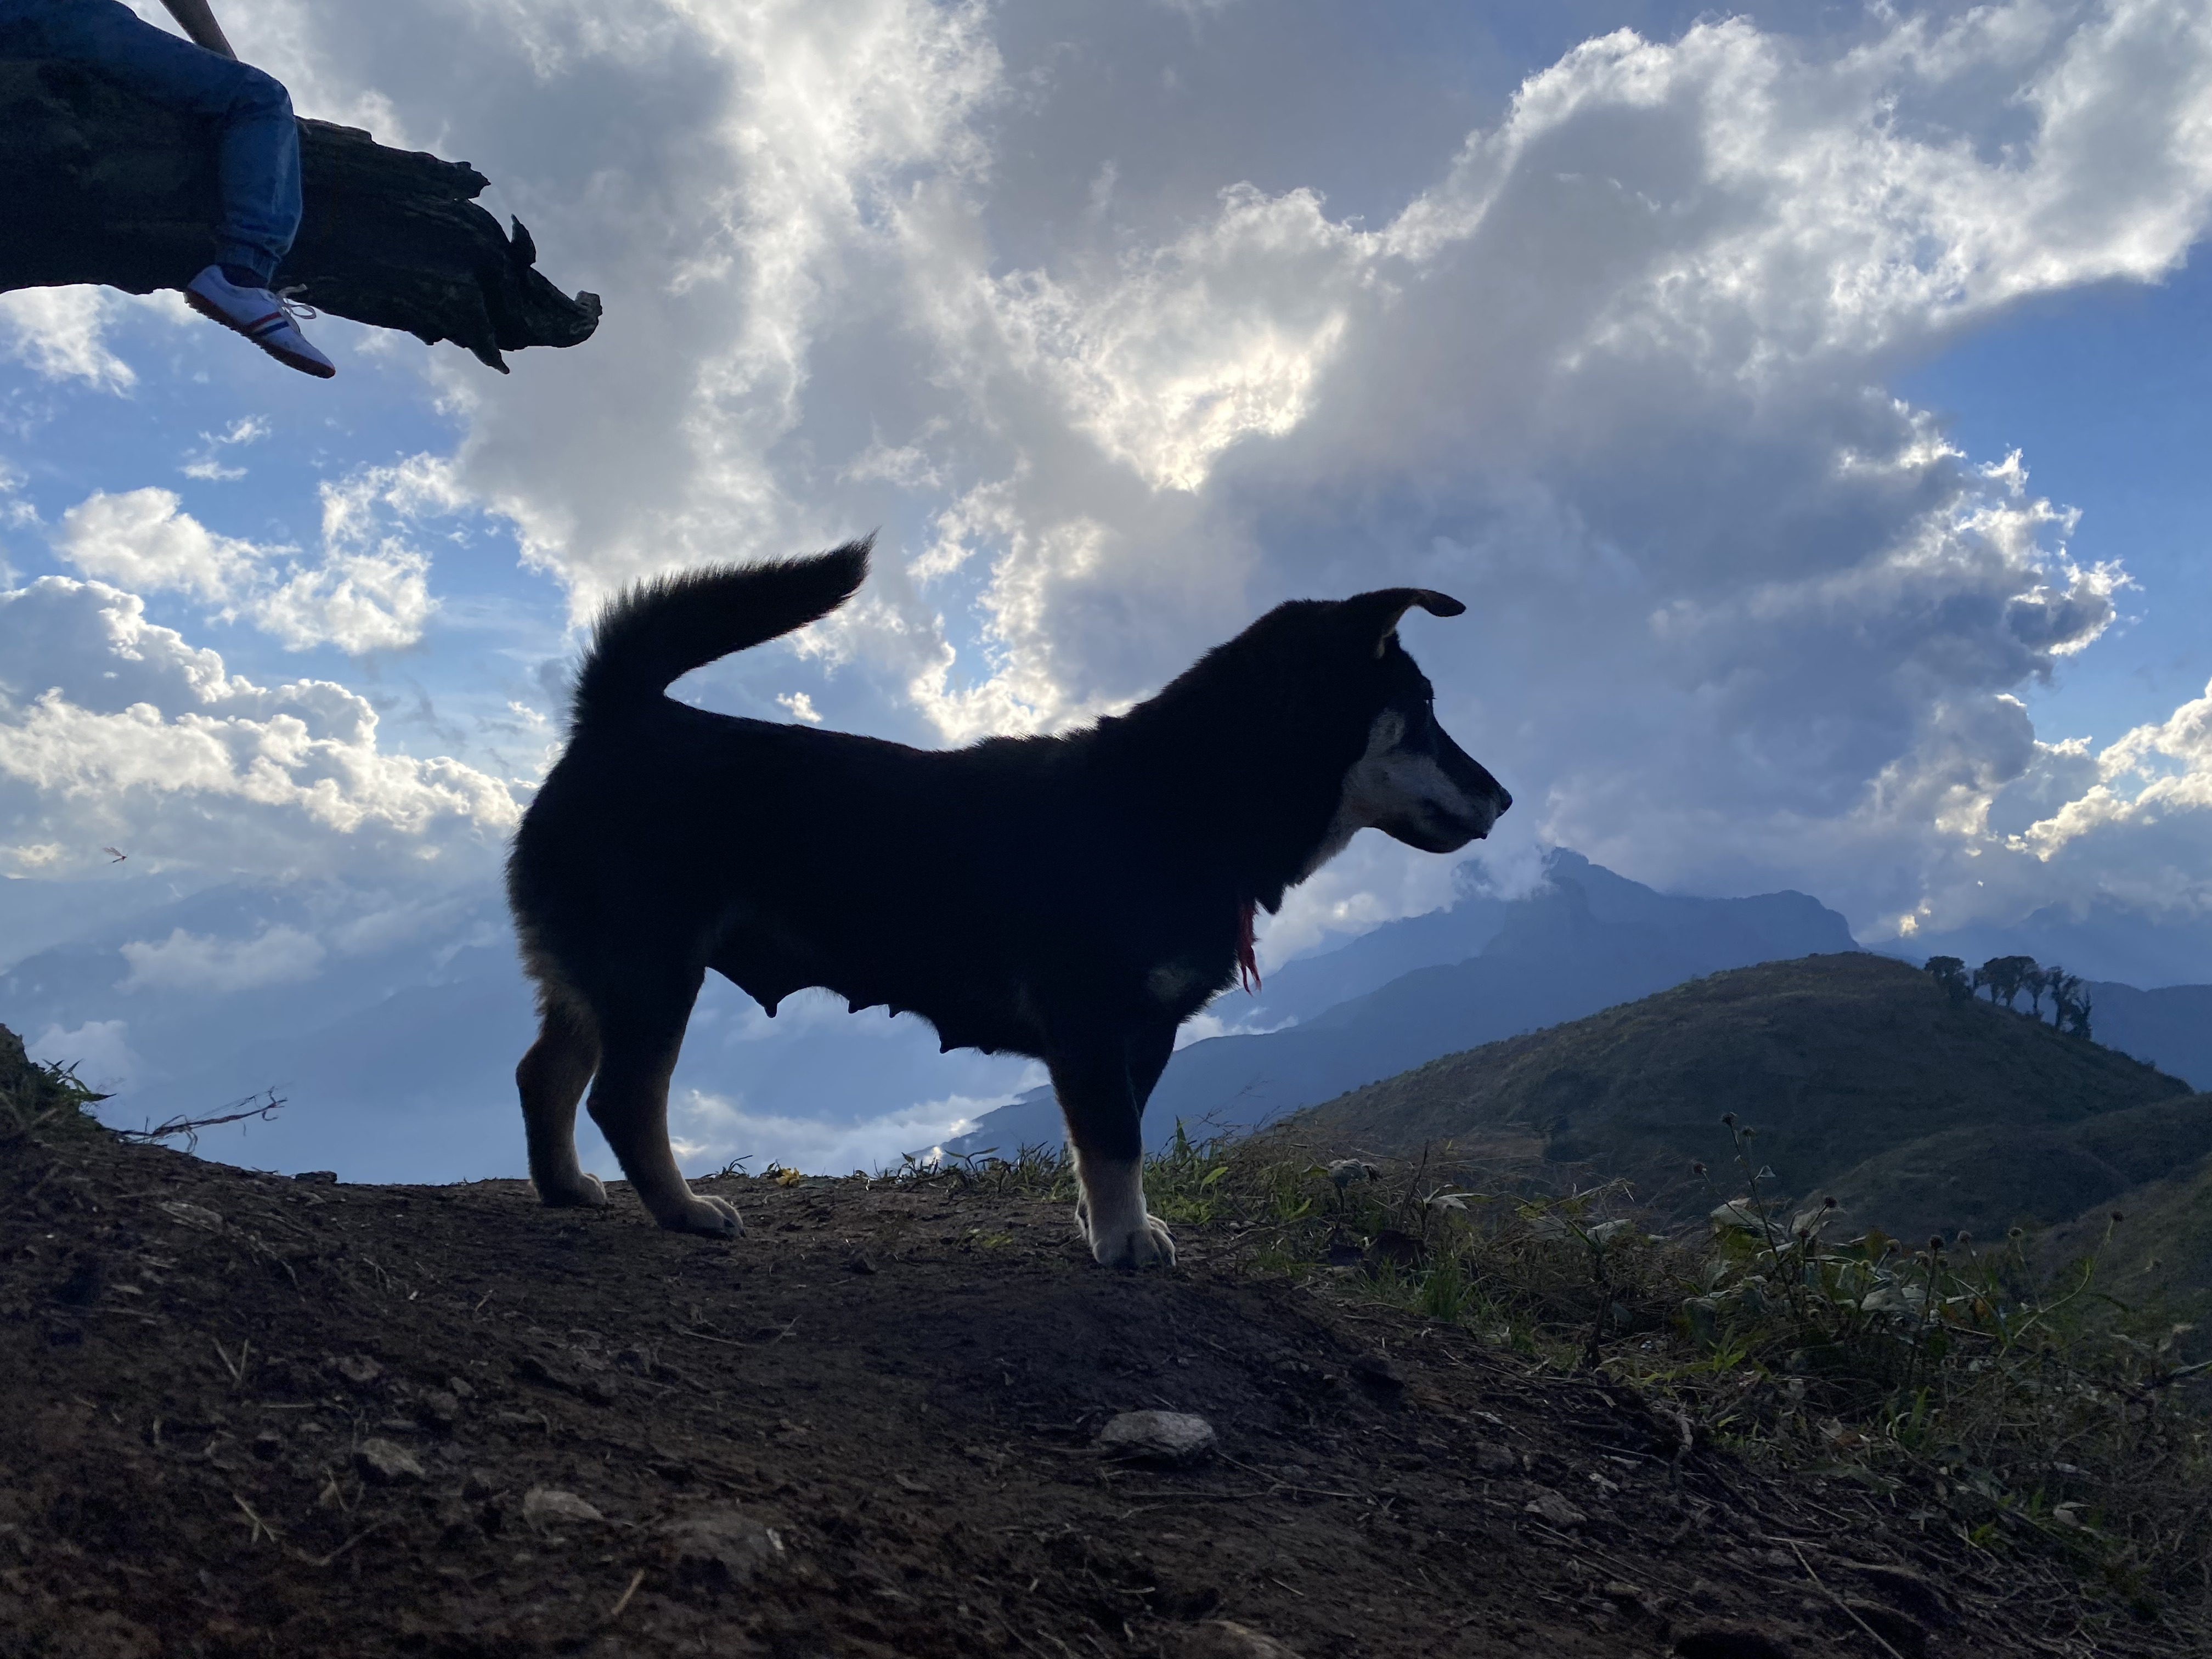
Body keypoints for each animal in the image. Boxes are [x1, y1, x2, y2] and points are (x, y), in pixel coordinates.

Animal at [506, 540, 1511, 1266]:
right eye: (1424, 709)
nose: (1502, 797)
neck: (1186, 801)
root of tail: (620, 715)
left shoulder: (1141, 1033)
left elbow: (1107, 1138)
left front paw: (1104, 1222)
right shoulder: (1092, 1017)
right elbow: (1115, 1138)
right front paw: (1124, 1241)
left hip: (595, 971)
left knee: (543, 1071)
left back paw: (564, 1187)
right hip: (650, 968)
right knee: (624, 1097)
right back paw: (681, 1208)